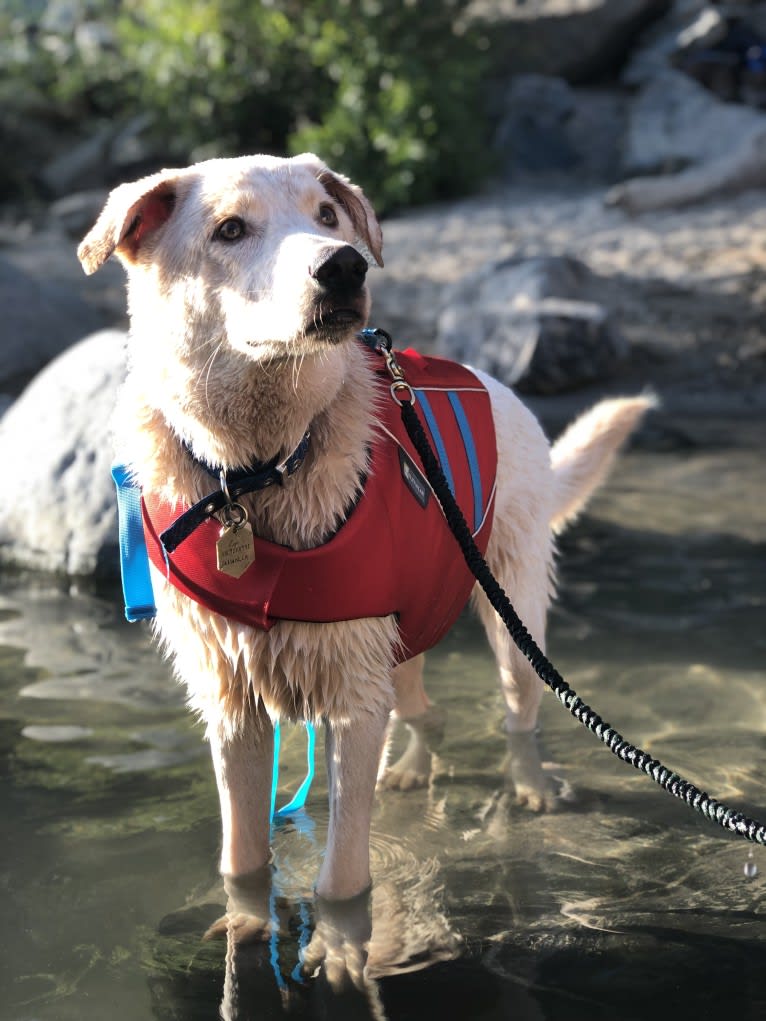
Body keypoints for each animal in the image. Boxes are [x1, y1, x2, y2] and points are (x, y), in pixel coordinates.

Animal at [79, 151, 653, 927]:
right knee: (426, 712)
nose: (345, 266)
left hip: (512, 616)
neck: (255, 473)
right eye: (229, 229)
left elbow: (342, 881)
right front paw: (244, 922)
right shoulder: (234, 708)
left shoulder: (351, 702)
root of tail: (491, 383)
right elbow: (242, 861)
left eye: (327, 215)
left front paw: (340, 939)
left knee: (518, 716)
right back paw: (410, 770)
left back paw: (529, 786)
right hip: (400, 638)